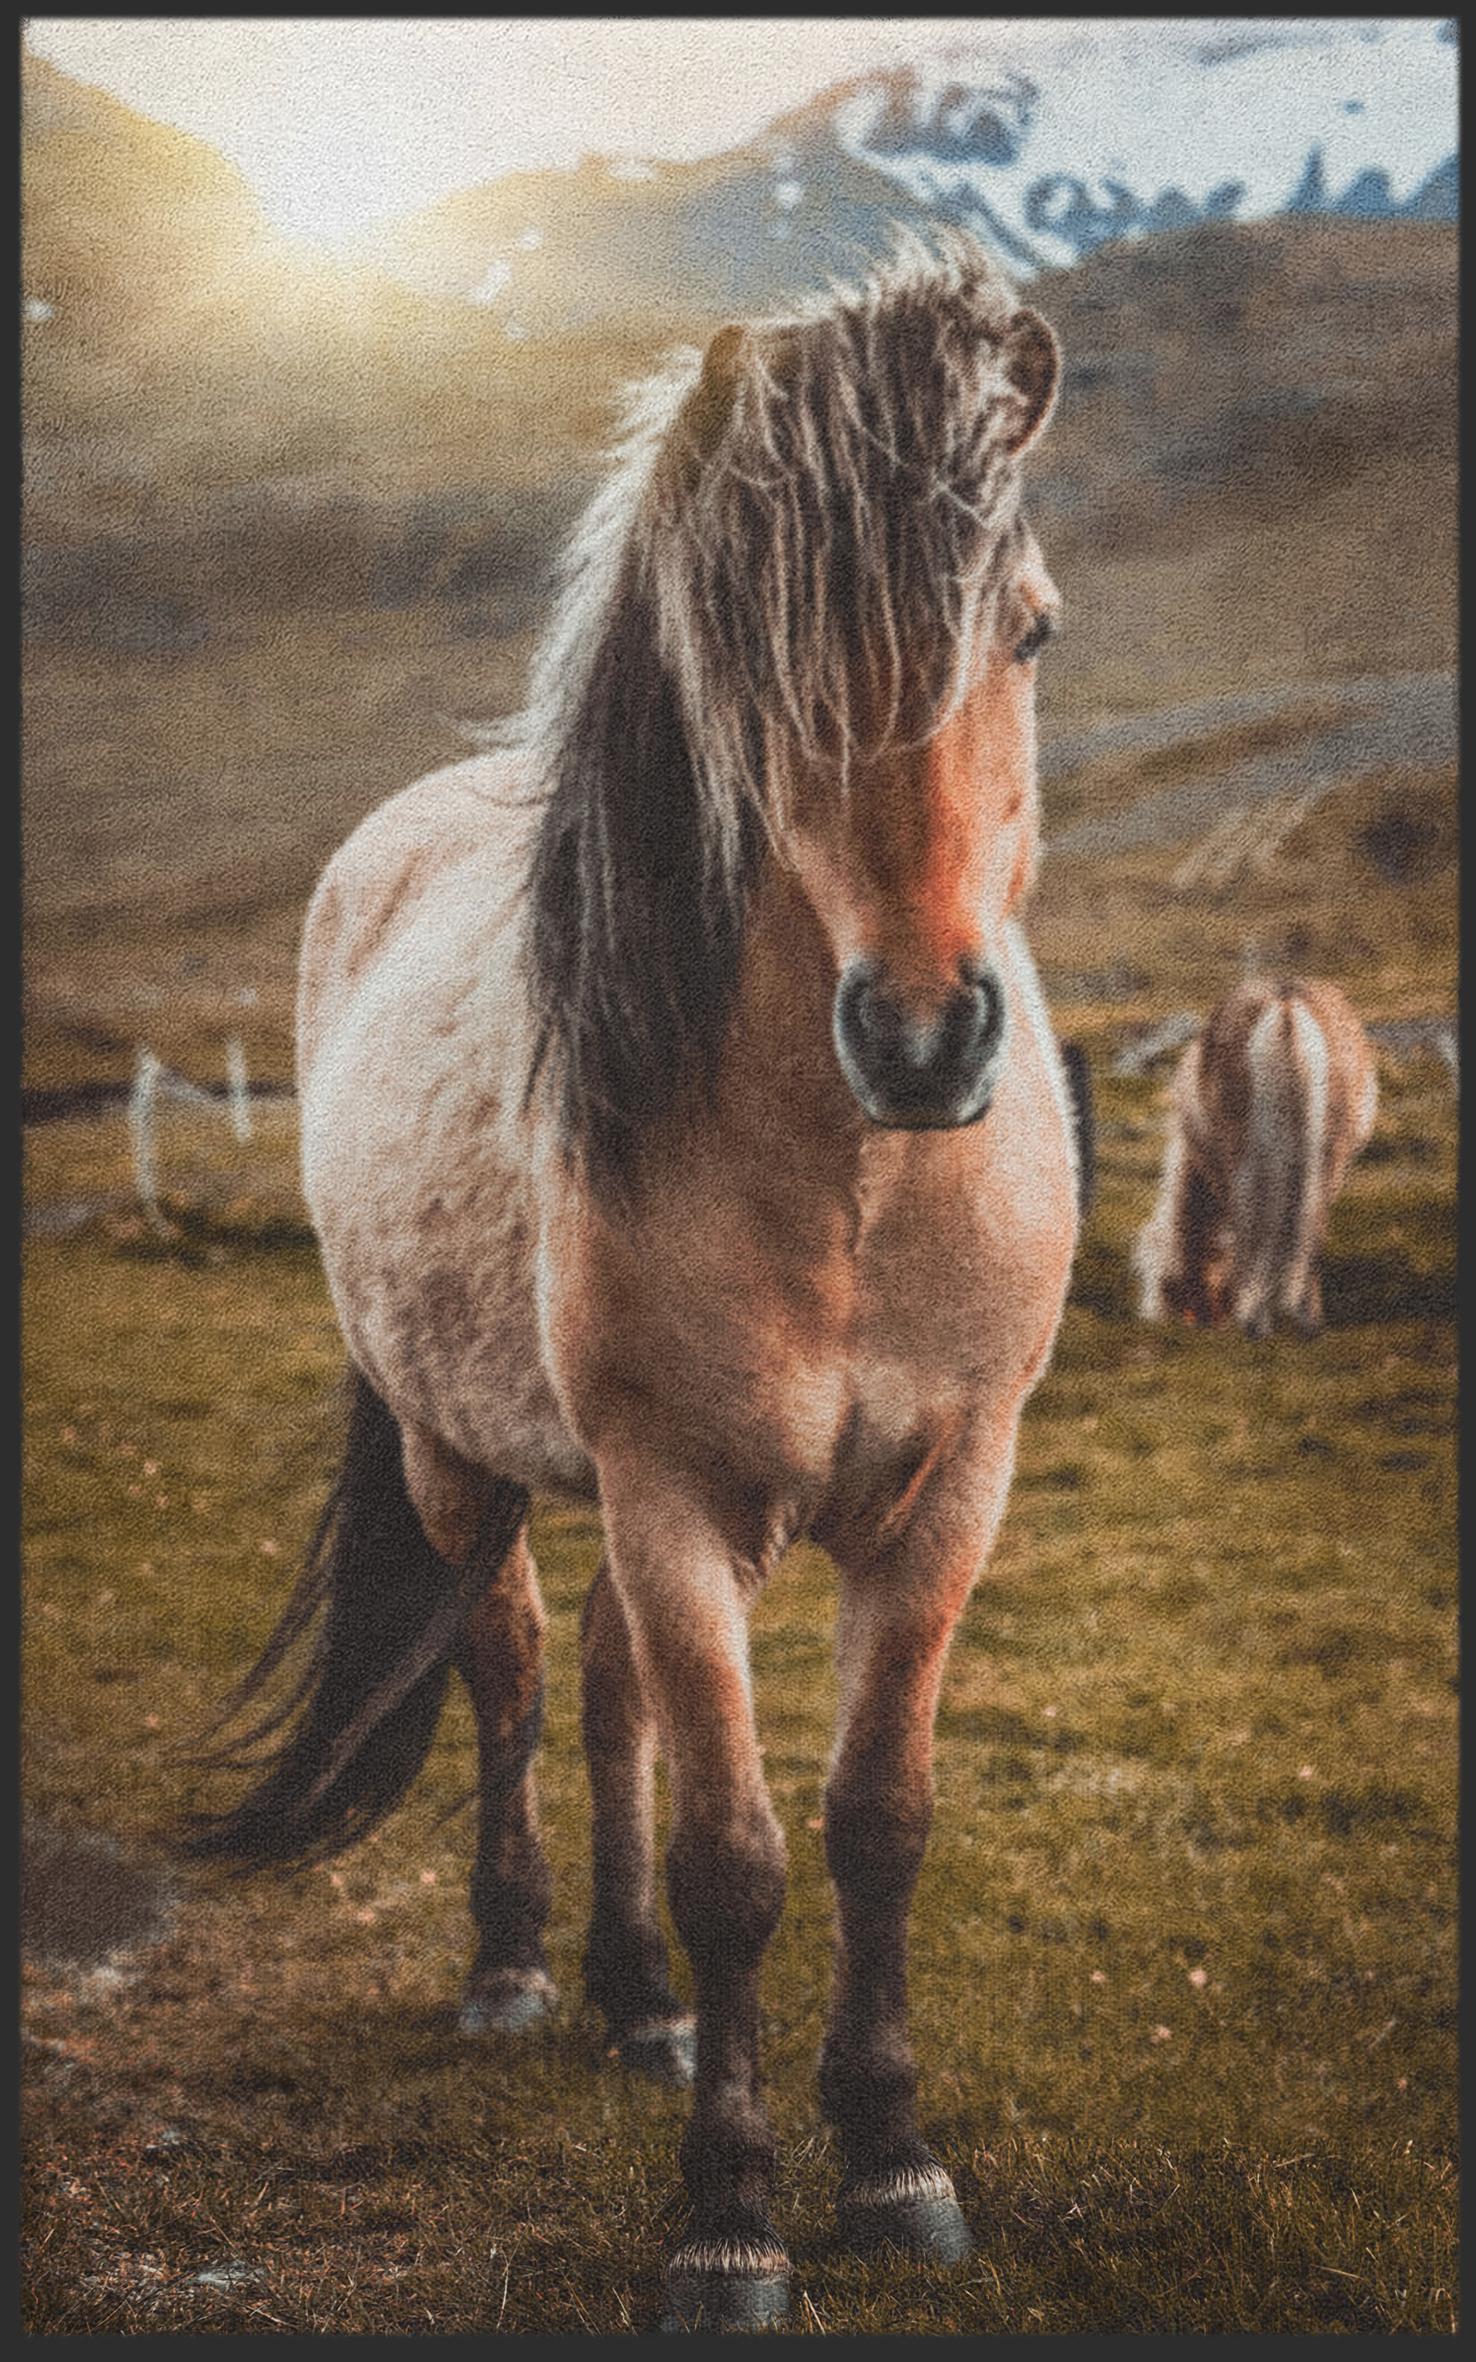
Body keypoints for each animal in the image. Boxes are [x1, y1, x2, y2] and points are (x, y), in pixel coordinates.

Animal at [184, 229, 1079, 2331]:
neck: (853, 1184)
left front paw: (892, 2159)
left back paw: (639, 2004)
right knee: (516, 1677)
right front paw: (731, 2220)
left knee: (603, 1699)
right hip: (469, 1458)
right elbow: (738, 1851)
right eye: (764, 666)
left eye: (1028, 633)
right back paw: (518, 1971)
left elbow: (876, 1819)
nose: (925, 1034)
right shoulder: (675, 1497)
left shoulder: (953, 1493)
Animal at [1134, 975, 1378, 1339]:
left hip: (1244, 1157)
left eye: (1164, 1284)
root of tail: (1286, 1009)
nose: (1150, 1318)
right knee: (1311, 1227)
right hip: (1328, 1155)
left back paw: (1253, 1319)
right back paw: (1305, 1318)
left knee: (1252, 1221)